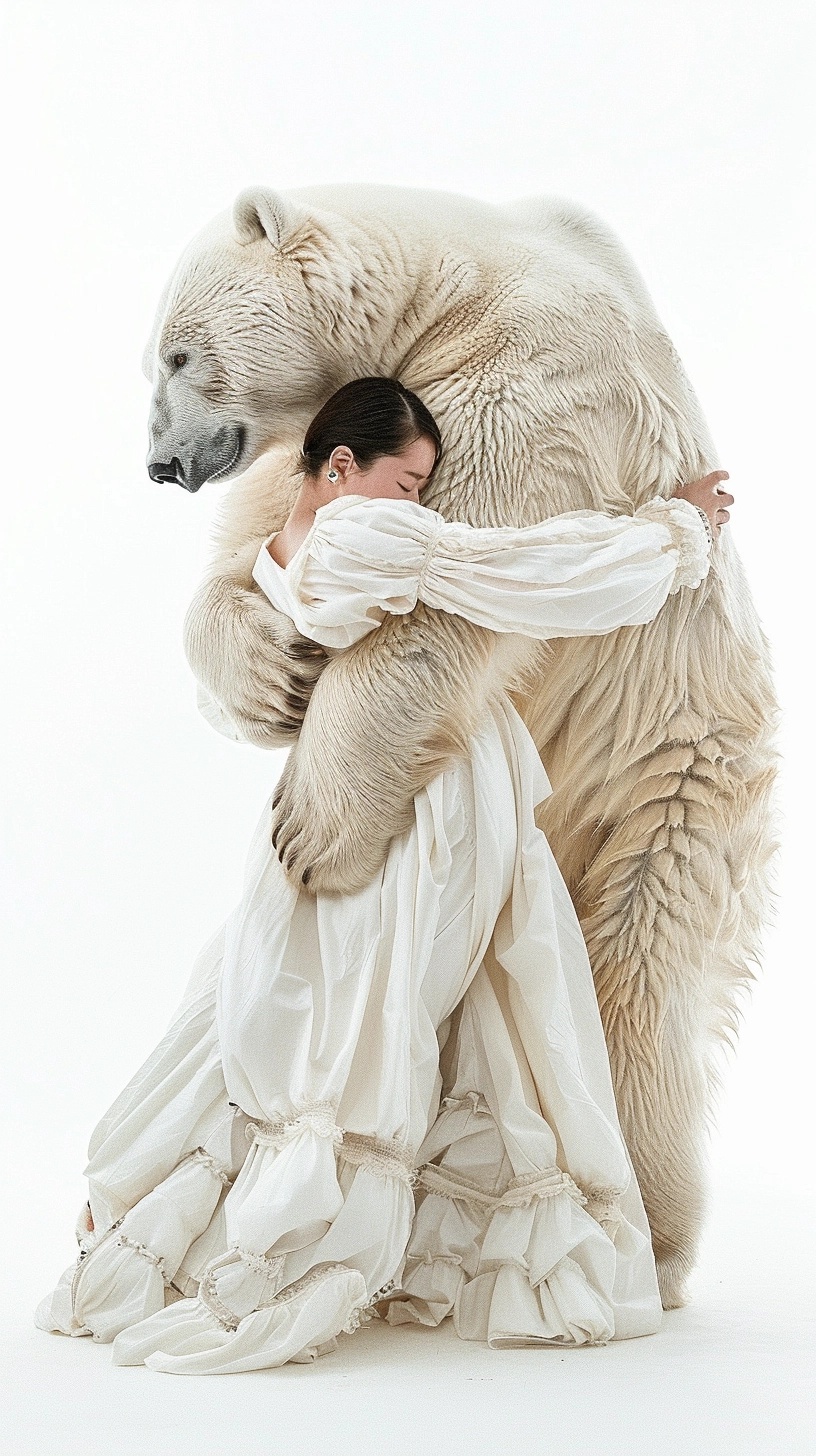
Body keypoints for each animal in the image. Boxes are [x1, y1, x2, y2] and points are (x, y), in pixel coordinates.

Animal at [143, 182, 781, 1310]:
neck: (455, 282)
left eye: (178, 352)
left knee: (638, 982)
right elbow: (255, 553)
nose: (160, 463)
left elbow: (444, 600)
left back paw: (646, 1243)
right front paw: (270, 675)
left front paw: (317, 830)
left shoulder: (528, 390)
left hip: (673, 777)